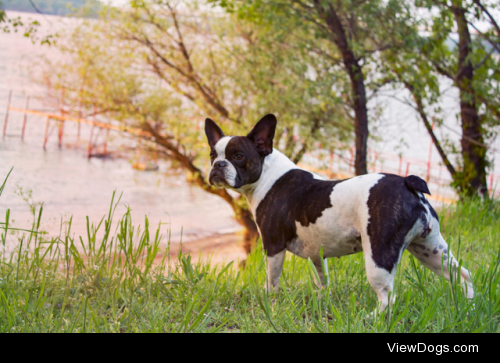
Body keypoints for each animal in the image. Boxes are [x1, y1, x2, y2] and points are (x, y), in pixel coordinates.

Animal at [205, 114, 474, 312]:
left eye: (238, 156)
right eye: (212, 155)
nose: (218, 165)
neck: (268, 174)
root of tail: (407, 182)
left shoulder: (273, 246)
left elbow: (272, 280)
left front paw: (269, 303)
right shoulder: (317, 254)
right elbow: (322, 279)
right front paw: (323, 301)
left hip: (379, 255)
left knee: (387, 297)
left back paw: (372, 318)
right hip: (430, 249)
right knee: (462, 275)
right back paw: (468, 307)